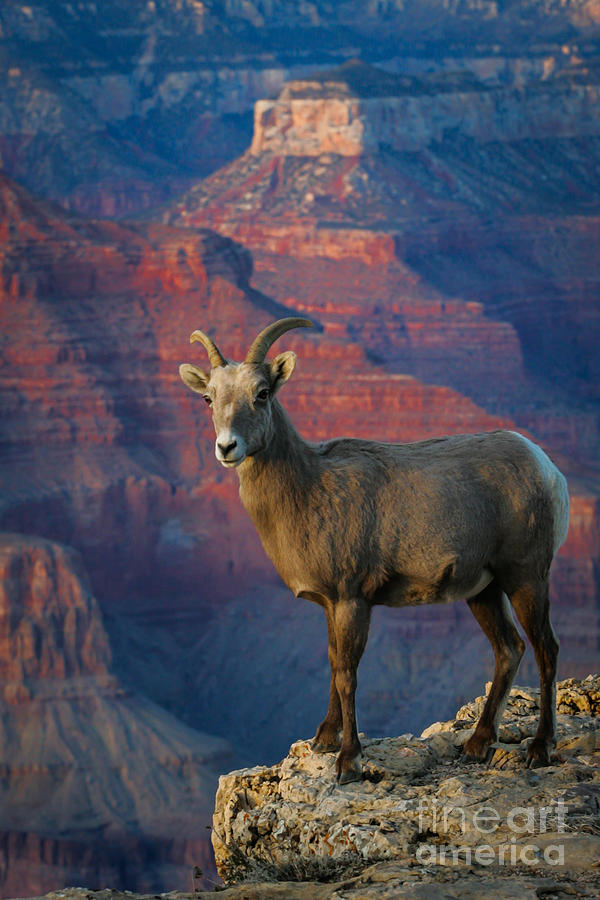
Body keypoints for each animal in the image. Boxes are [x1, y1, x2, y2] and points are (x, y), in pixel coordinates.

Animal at [178, 316, 568, 780]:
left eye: (263, 393)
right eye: (208, 398)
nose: (227, 447)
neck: (308, 489)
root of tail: (546, 468)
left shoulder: (352, 600)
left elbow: (347, 674)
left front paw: (348, 761)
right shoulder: (331, 604)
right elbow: (332, 665)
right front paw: (324, 741)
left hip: (526, 577)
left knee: (545, 648)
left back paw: (540, 749)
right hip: (484, 591)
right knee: (509, 648)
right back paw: (477, 745)